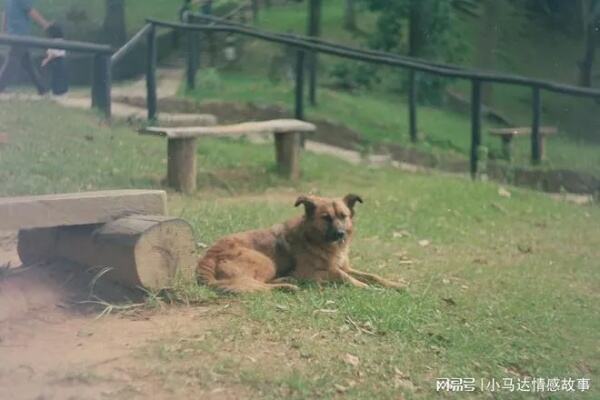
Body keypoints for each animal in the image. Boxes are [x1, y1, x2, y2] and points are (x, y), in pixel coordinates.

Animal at [197, 195, 404, 294]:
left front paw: (395, 284)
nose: (340, 234)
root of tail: (206, 260)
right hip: (265, 261)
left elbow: (372, 275)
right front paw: (365, 287)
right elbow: (343, 275)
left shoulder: (344, 266)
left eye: (343, 216)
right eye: (326, 218)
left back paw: (287, 282)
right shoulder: (312, 272)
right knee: (252, 284)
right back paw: (288, 287)